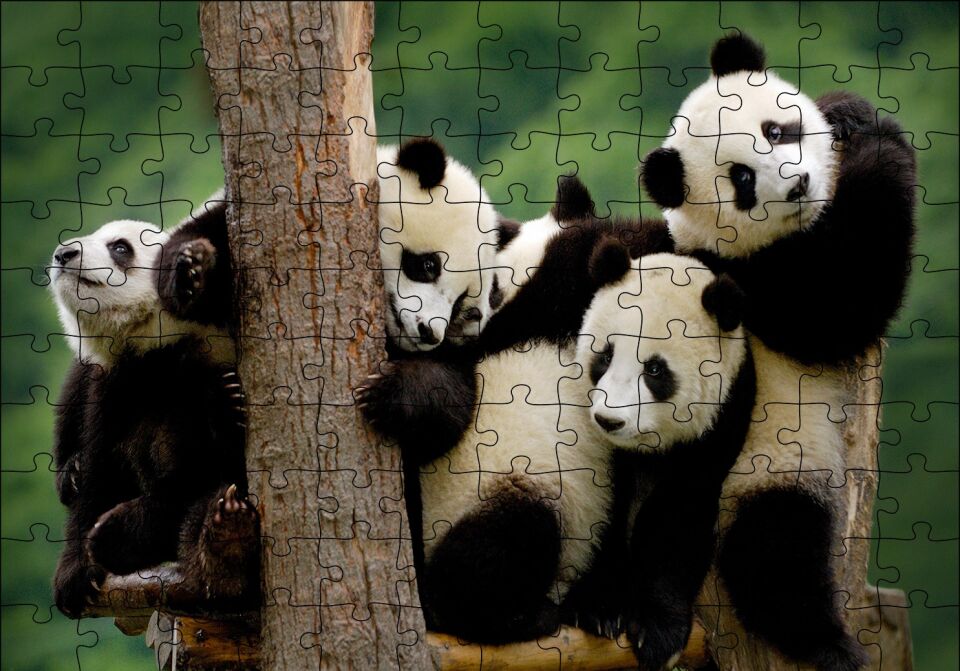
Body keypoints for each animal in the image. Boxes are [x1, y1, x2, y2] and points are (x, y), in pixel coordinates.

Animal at [50, 197, 259, 617]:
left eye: (120, 247)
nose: (64, 253)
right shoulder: (116, 384)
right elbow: (100, 471)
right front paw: (75, 573)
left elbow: (193, 473)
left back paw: (225, 546)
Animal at [417, 250, 755, 657]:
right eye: (605, 356)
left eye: (655, 369)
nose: (609, 419)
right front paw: (599, 607)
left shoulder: (721, 419)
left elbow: (680, 516)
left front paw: (656, 628)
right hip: (474, 488)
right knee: (508, 537)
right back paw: (520, 614)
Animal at [640, 34, 916, 670]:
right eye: (740, 178)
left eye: (777, 130)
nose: (796, 186)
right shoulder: (752, 281)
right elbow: (842, 307)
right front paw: (883, 146)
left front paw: (848, 113)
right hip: (763, 467)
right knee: (775, 552)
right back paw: (827, 643)